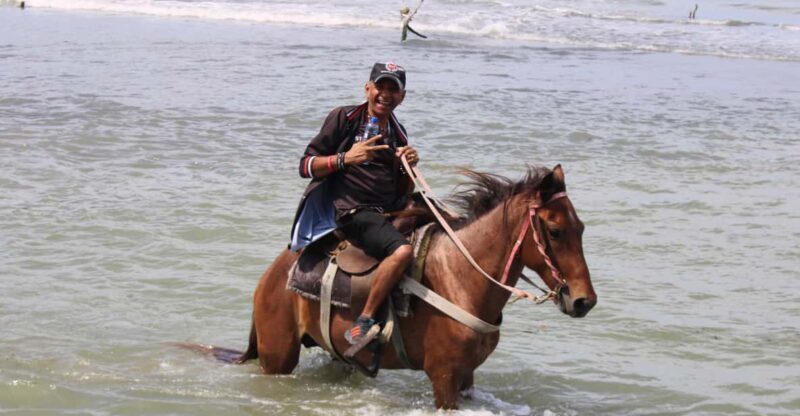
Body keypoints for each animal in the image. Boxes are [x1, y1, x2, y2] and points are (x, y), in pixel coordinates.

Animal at [195, 164, 596, 409]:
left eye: (581, 228)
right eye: (555, 231)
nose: (584, 301)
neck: (461, 279)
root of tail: (273, 273)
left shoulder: (466, 376)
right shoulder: (444, 378)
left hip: (338, 356)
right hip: (277, 357)